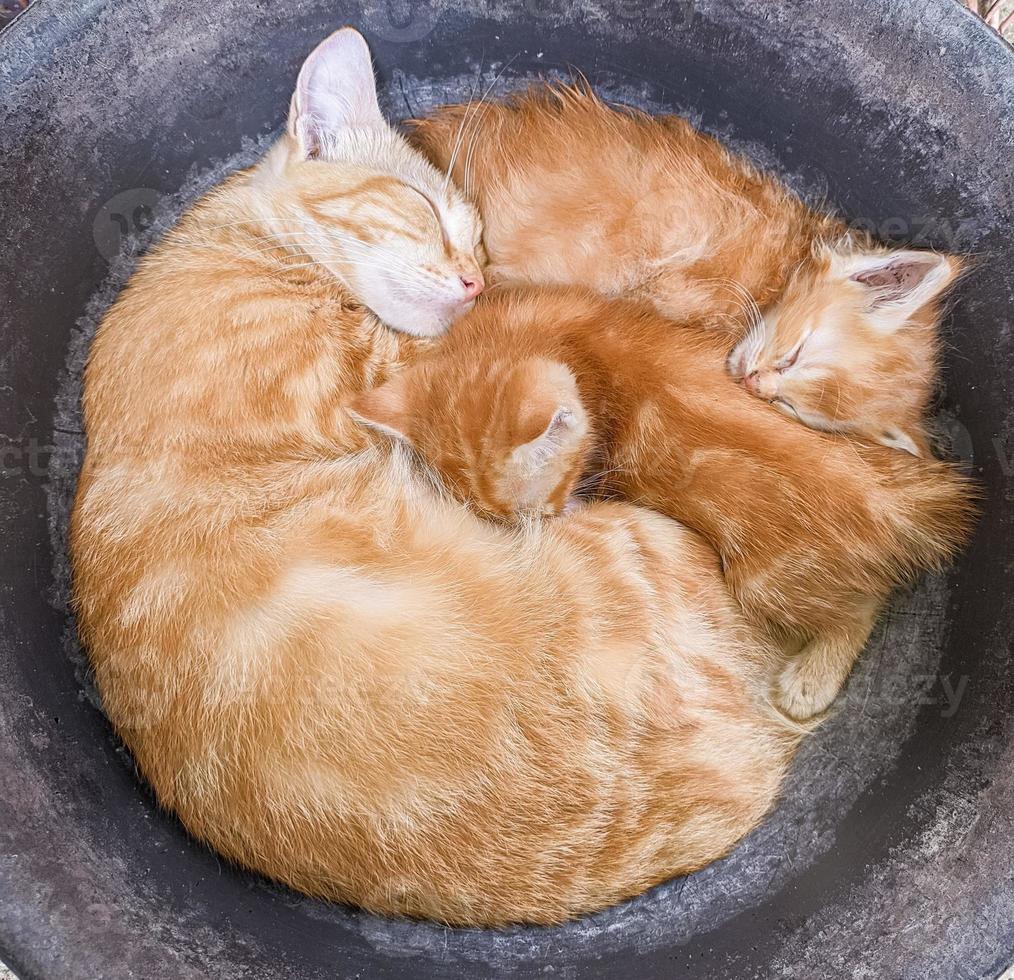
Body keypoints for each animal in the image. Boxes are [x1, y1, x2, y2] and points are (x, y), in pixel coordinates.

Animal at [350, 286, 973, 722]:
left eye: (541, 514)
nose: (556, 520)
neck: (550, 336)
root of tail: (905, 503)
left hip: (764, 583)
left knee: (864, 604)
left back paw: (809, 681)